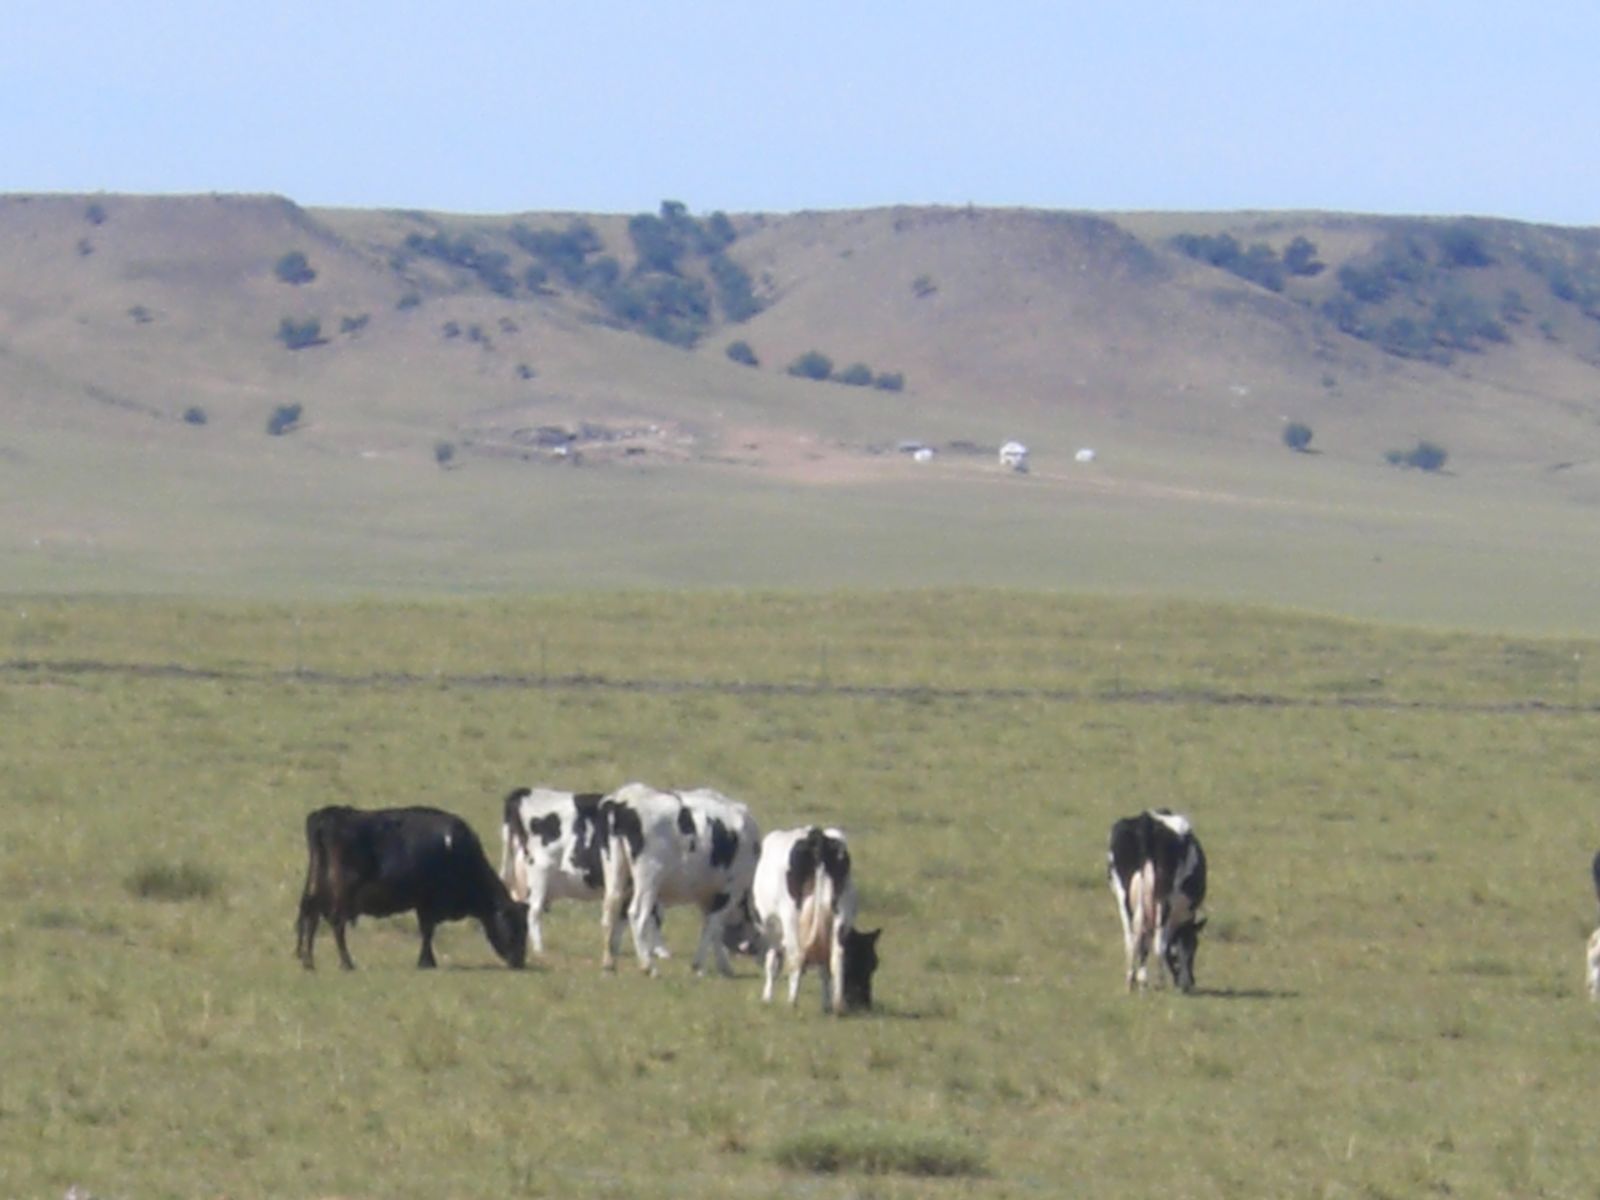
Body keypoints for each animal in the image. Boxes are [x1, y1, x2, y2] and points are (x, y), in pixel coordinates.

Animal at [297, 803, 528, 972]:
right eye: (514, 925)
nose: (519, 961)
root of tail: (328, 814)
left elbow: (426, 932)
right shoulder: (429, 903)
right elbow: (427, 931)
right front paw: (427, 962)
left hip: (318, 889)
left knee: (311, 916)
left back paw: (309, 962)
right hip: (343, 893)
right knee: (336, 923)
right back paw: (346, 963)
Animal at [601, 790, 761, 979]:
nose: (754, 950)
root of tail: (623, 804)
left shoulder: (708, 897)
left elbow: (713, 928)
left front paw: (724, 966)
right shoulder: (729, 891)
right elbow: (712, 926)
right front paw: (699, 965)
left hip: (619, 877)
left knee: (612, 912)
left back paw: (609, 964)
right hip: (649, 878)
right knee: (636, 914)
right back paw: (648, 966)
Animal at [752, 825, 883, 1017]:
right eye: (871, 963)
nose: (865, 1003)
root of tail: (817, 836)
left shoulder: (771, 928)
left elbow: (772, 962)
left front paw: (767, 997)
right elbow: (824, 967)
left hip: (791, 914)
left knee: (797, 955)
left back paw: (792, 1002)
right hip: (840, 911)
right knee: (836, 956)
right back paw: (835, 1005)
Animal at [1107, 809, 1203, 998]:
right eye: (1194, 947)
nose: (1189, 983)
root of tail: (1147, 822)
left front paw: (1141, 980)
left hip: (1124, 896)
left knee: (1132, 939)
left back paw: (1131, 981)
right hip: (1163, 898)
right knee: (1159, 943)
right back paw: (1159, 982)